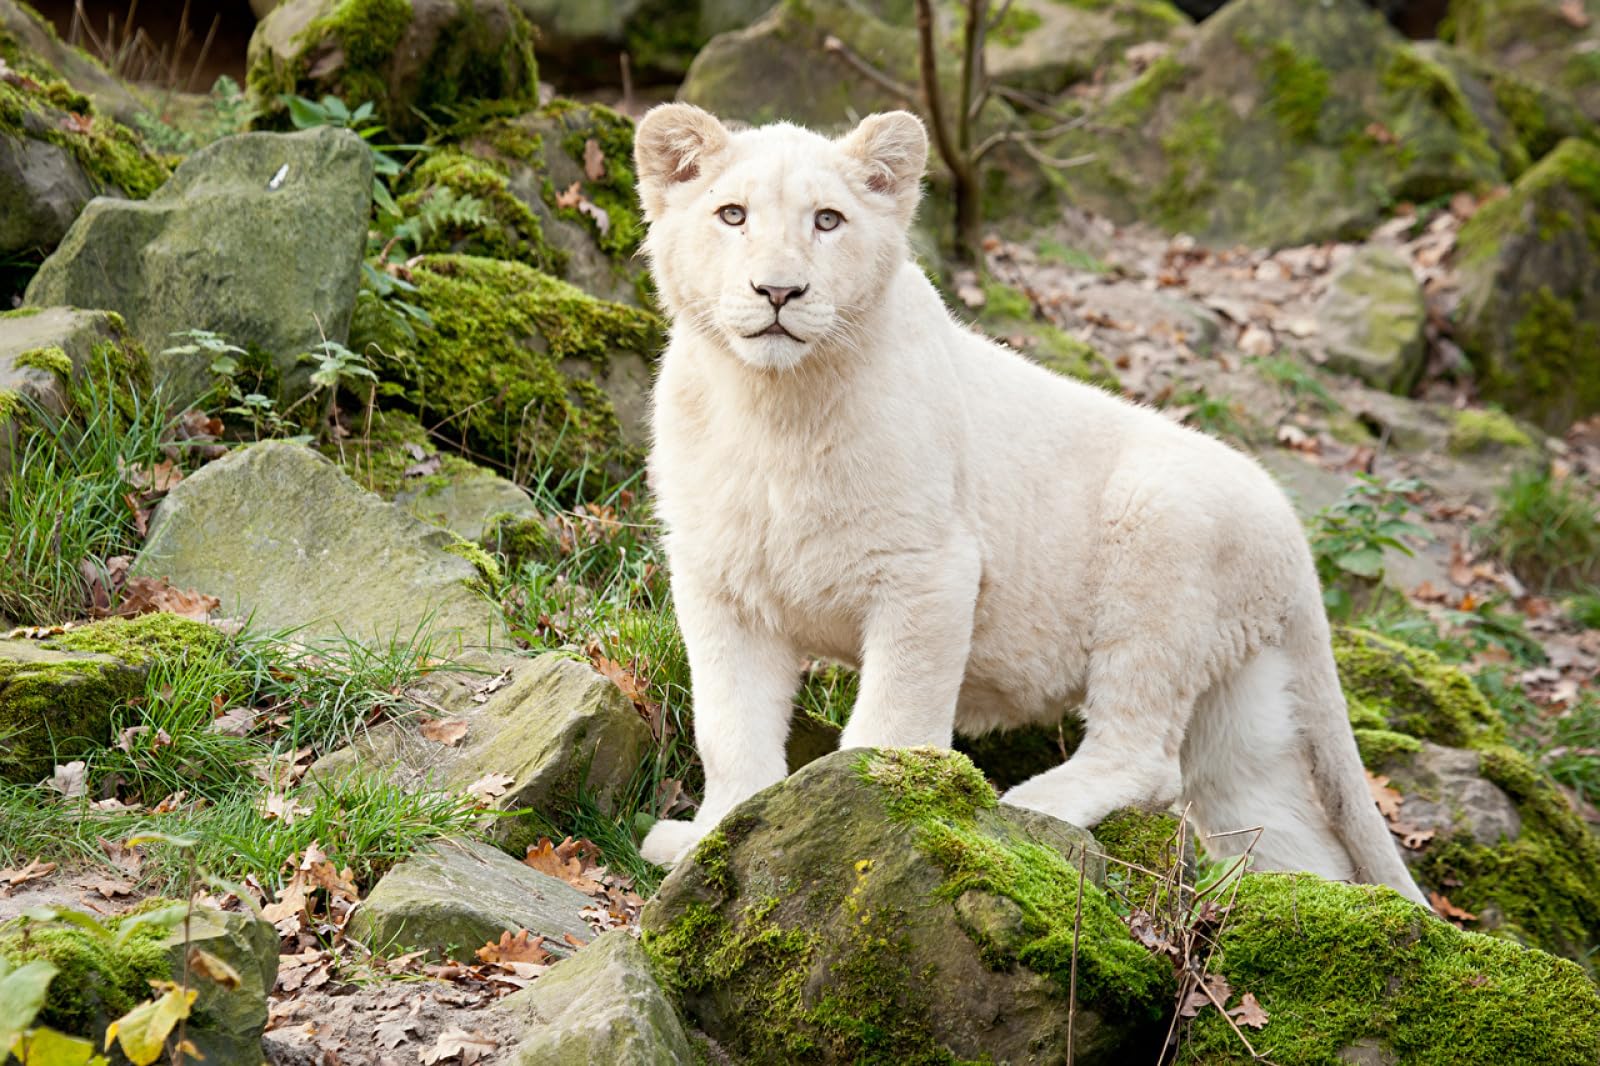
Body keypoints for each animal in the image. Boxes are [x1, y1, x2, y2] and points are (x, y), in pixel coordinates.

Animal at [631, 102, 1427, 907]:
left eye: (828, 220)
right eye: (732, 215)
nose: (779, 291)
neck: (773, 406)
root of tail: (1294, 535)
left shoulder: (930, 573)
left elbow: (890, 719)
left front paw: (861, 813)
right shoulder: (719, 582)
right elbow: (729, 725)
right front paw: (711, 838)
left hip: (1160, 541)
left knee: (1146, 758)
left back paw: (1031, 810)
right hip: (1241, 698)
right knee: (1282, 826)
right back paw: (1319, 908)